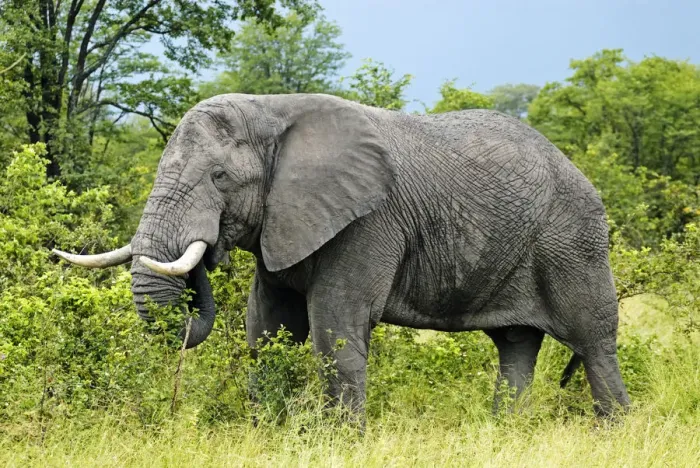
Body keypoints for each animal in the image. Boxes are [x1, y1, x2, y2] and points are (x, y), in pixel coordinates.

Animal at [54, 93, 631, 417]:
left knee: (594, 343)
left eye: (219, 177)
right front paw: (268, 431)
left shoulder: (367, 221)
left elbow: (335, 325)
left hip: (573, 241)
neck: (273, 109)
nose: (209, 251)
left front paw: (342, 442)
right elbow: (267, 326)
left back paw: (615, 431)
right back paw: (505, 430)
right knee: (516, 346)